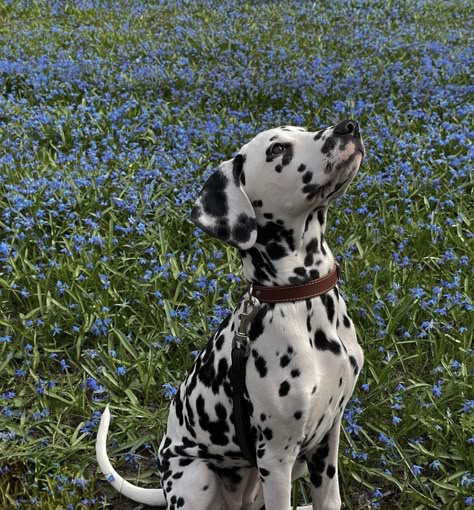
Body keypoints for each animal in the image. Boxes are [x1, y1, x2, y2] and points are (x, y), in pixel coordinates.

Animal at [94, 119, 364, 510]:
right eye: (277, 149)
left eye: (302, 129)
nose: (349, 127)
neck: (299, 299)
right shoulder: (276, 458)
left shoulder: (328, 436)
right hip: (197, 477)